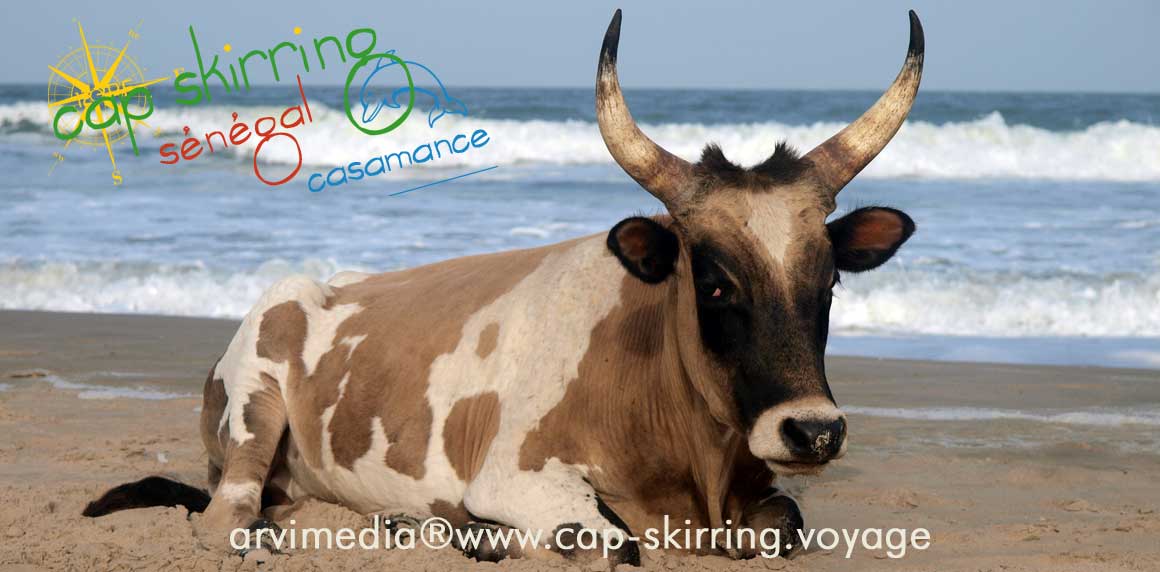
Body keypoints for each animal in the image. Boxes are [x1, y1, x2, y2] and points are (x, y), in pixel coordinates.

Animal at [84, 8, 923, 566]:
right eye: (715, 284)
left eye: (830, 280)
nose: (812, 432)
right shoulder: (520, 477)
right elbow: (615, 546)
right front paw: (487, 536)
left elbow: (784, 525)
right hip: (250, 419)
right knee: (226, 517)